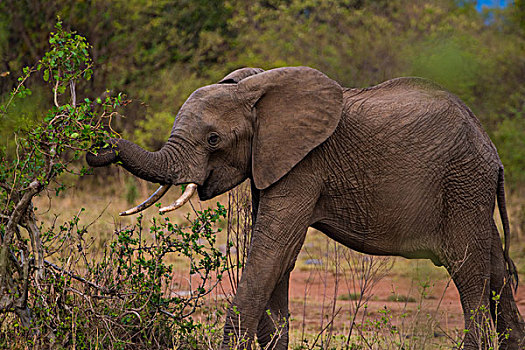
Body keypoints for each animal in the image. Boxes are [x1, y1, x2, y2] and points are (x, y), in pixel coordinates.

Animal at [87, 67, 524, 348]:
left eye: (213, 139)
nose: (97, 144)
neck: (256, 90)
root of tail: (492, 149)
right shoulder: (271, 161)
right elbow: (280, 255)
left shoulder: (305, 164)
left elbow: (273, 247)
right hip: (472, 190)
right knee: (495, 267)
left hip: (462, 183)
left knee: (467, 269)